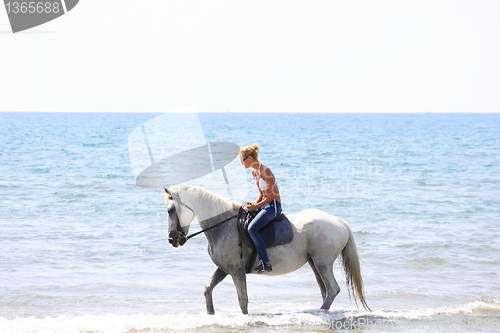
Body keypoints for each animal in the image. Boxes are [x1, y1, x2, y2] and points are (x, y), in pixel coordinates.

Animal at [163, 184, 368, 314]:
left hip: (322, 263)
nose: (172, 239)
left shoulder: (236, 271)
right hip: (315, 263)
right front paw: (210, 314)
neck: (223, 227)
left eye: (170, 210)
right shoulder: (223, 268)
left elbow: (243, 300)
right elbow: (207, 289)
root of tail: (338, 221)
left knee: (332, 289)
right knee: (325, 290)